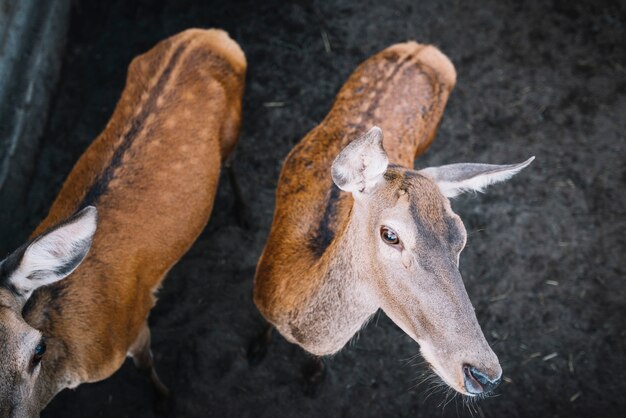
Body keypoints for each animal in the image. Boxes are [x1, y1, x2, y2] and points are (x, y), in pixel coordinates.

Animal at [0, 27, 246, 416]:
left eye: (37, 348)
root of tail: (210, 34)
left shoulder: (133, 326)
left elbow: (146, 364)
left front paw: (164, 400)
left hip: (234, 126)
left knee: (233, 163)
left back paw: (244, 214)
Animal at [252, 42, 532, 398]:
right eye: (390, 234)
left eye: (462, 237)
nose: (483, 373)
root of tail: (423, 48)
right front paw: (256, 349)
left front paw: (314, 378)